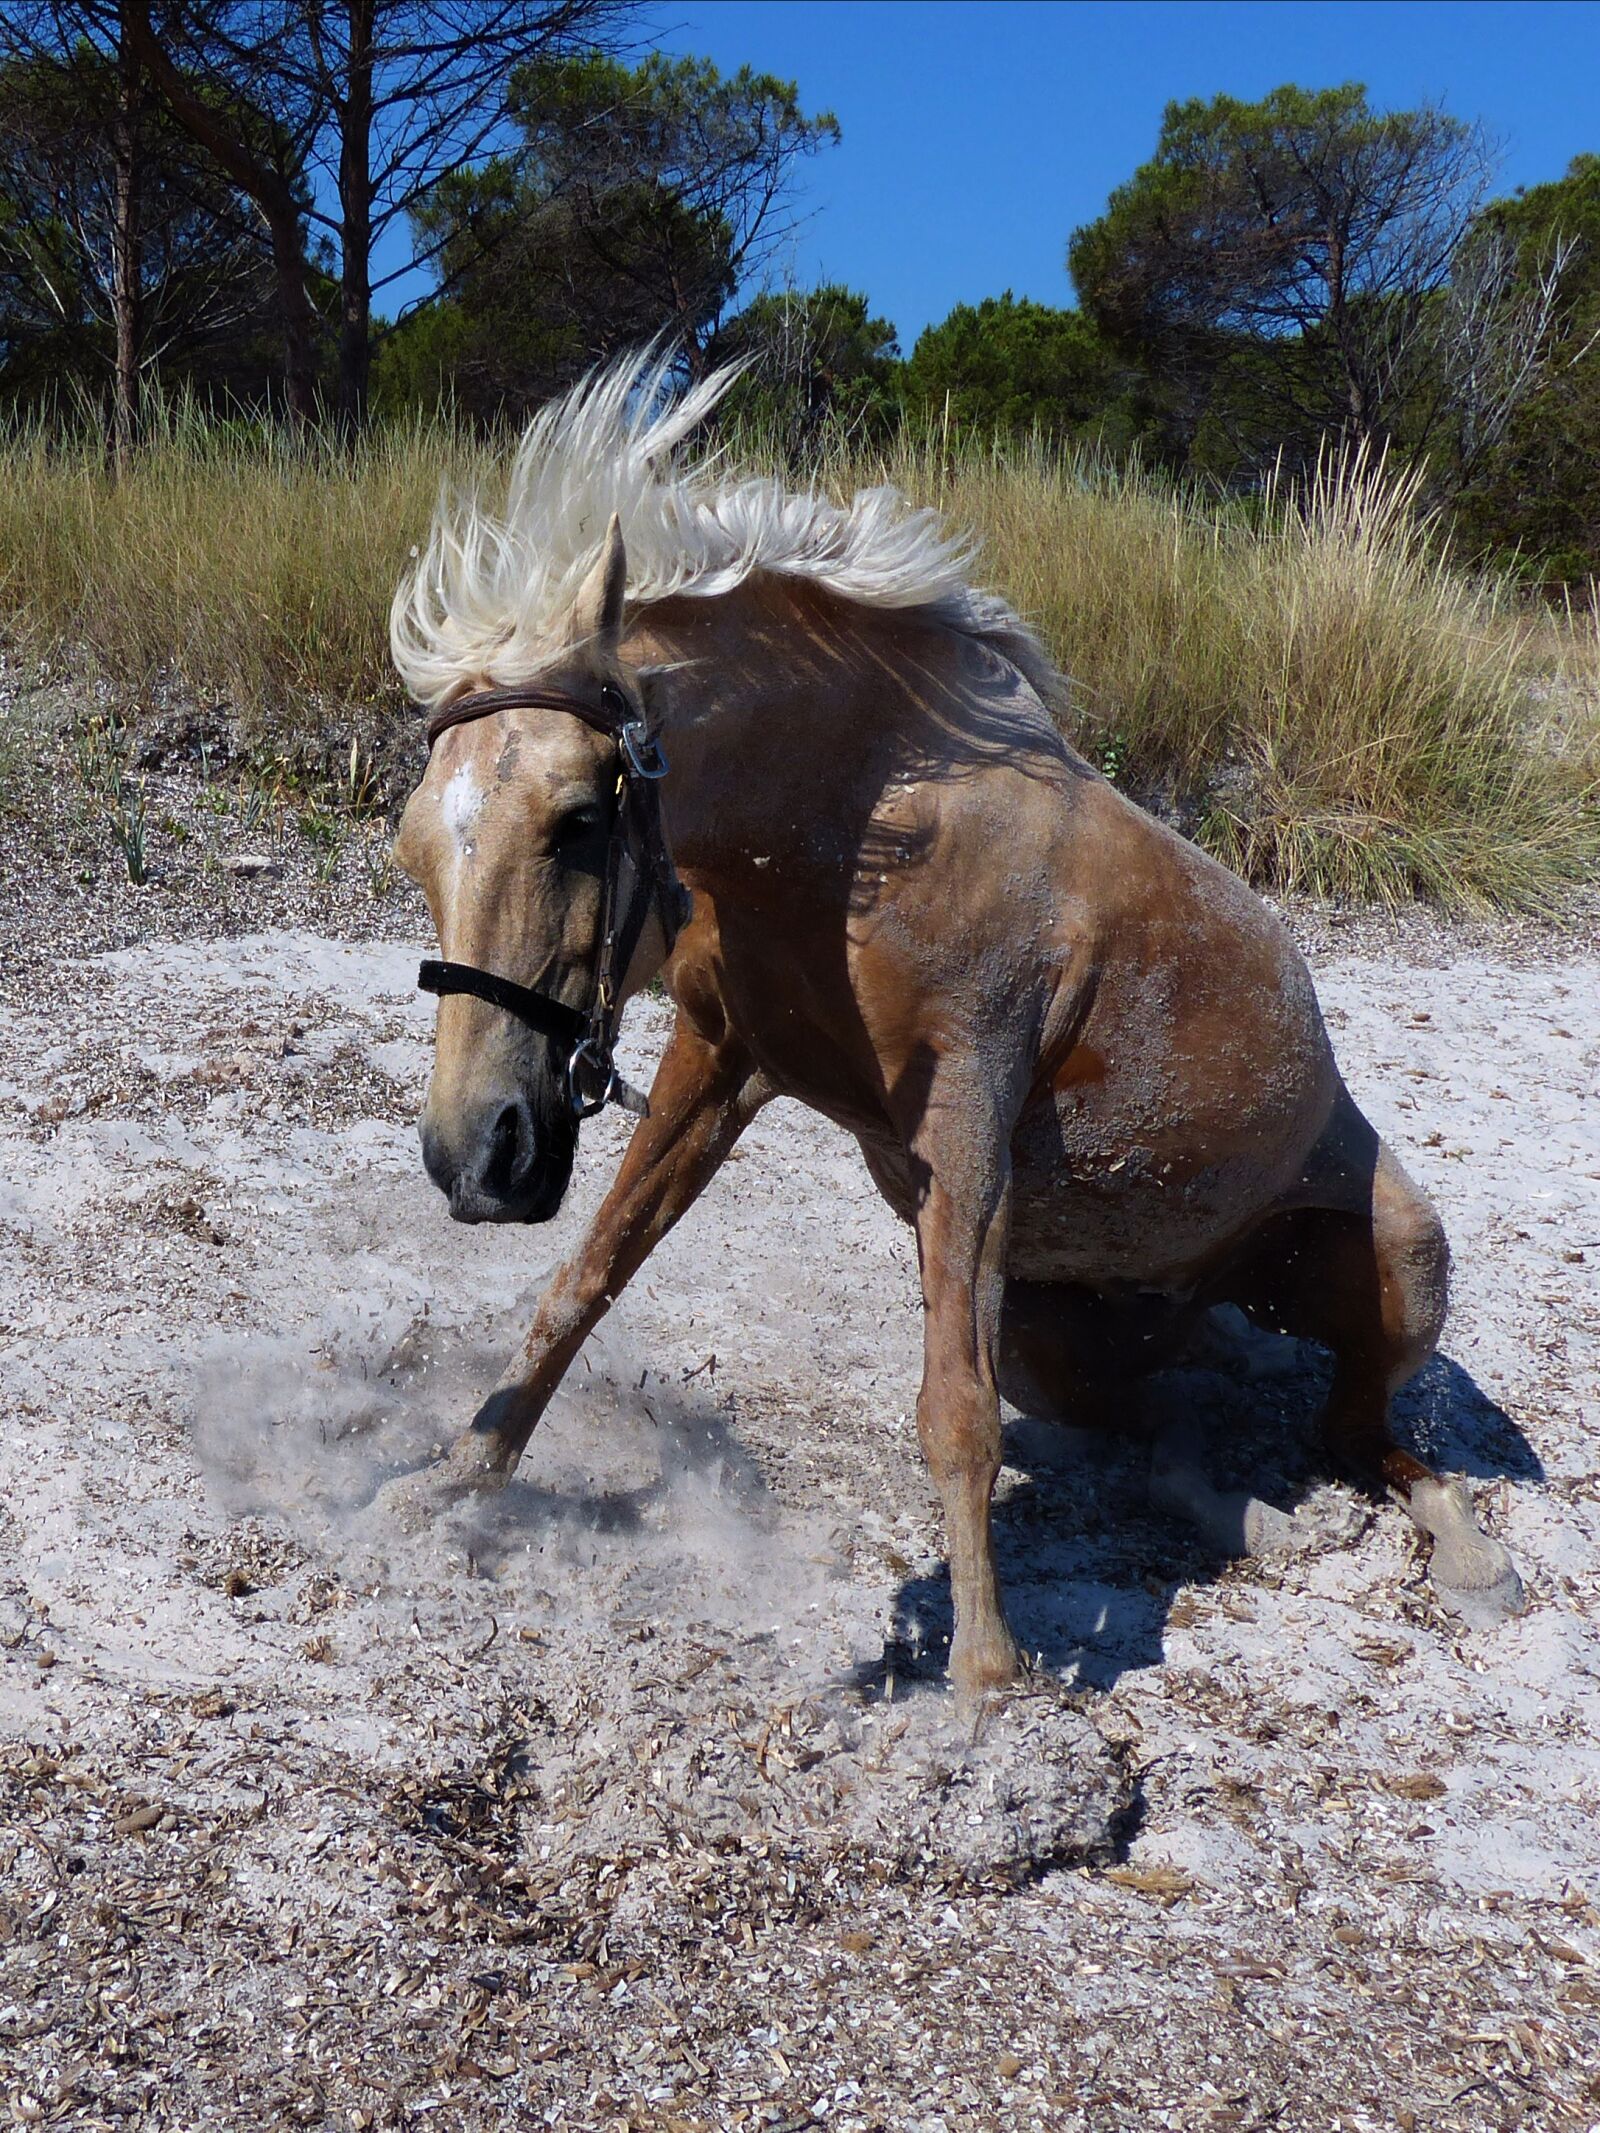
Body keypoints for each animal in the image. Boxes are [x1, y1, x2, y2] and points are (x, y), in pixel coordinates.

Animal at [384, 356, 1524, 1697]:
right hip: (1063, 1341)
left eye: (574, 823)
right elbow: (585, 1280)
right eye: (412, 847)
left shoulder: (967, 1107)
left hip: (1405, 1264)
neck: (861, 825)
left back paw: (1465, 1550)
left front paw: (980, 1682)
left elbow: (954, 1414)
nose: (476, 1158)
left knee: (1362, 1436)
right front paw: (459, 1476)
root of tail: (1199, 1298)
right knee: (1175, 1426)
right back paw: (1255, 1514)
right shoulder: (719, 1061)